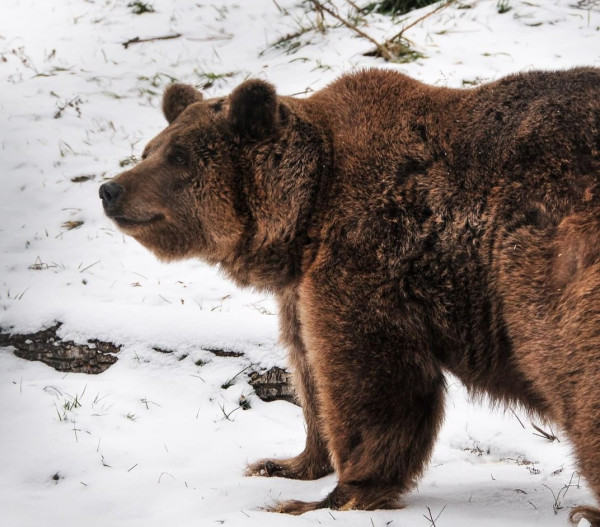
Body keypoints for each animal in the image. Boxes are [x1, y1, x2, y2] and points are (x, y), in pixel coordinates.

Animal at [101, 68, 600, 524]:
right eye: (149, 149)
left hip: (553, 265)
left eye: (179, 155)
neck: (307, 211)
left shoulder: (368, 255)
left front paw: (331, 495)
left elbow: (368, 378)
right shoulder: (300, 289)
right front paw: (286, 463)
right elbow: (308, 368)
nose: (110, 188)